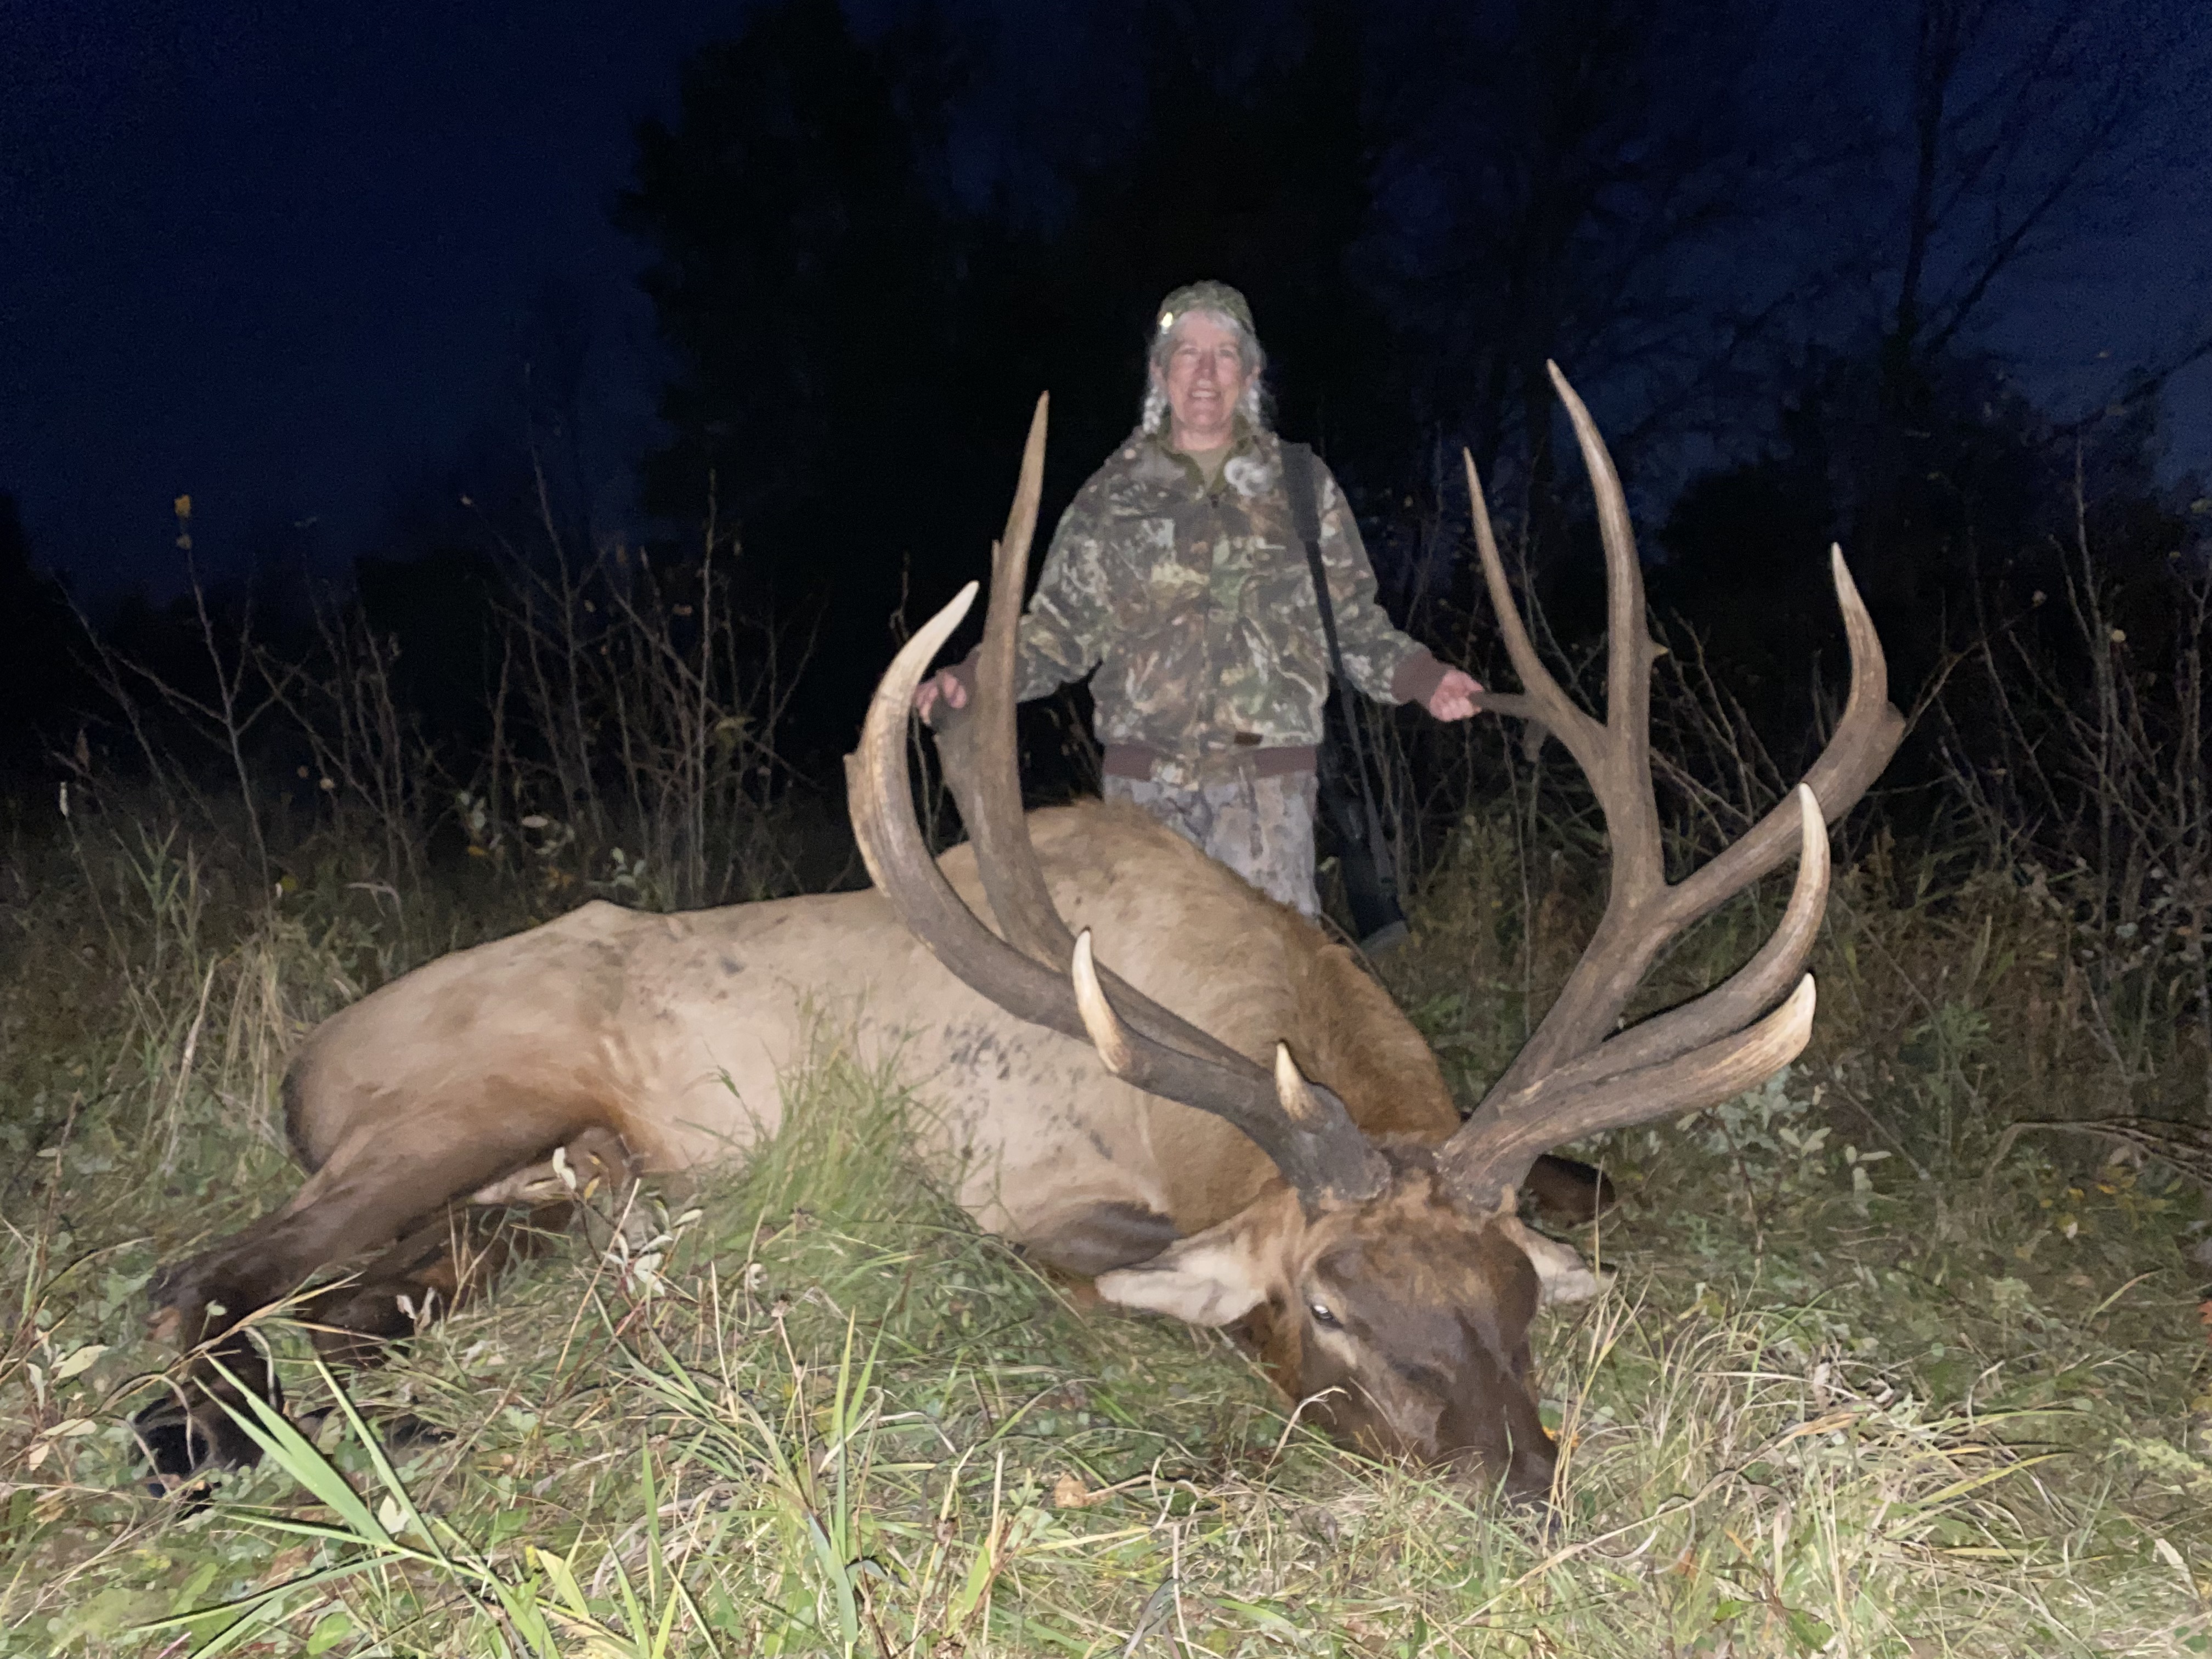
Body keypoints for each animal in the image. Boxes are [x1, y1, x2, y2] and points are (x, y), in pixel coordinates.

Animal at [138, 368, 1901, 1498]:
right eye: (1333, 1306)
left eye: (1515, 1302)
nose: (1518, 1478)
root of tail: (305, 1059)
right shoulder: (1024, 1187)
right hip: (461, 1106)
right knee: (205, 1278)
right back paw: (222, 1447)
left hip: (543, 1198)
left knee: (347, 1304)